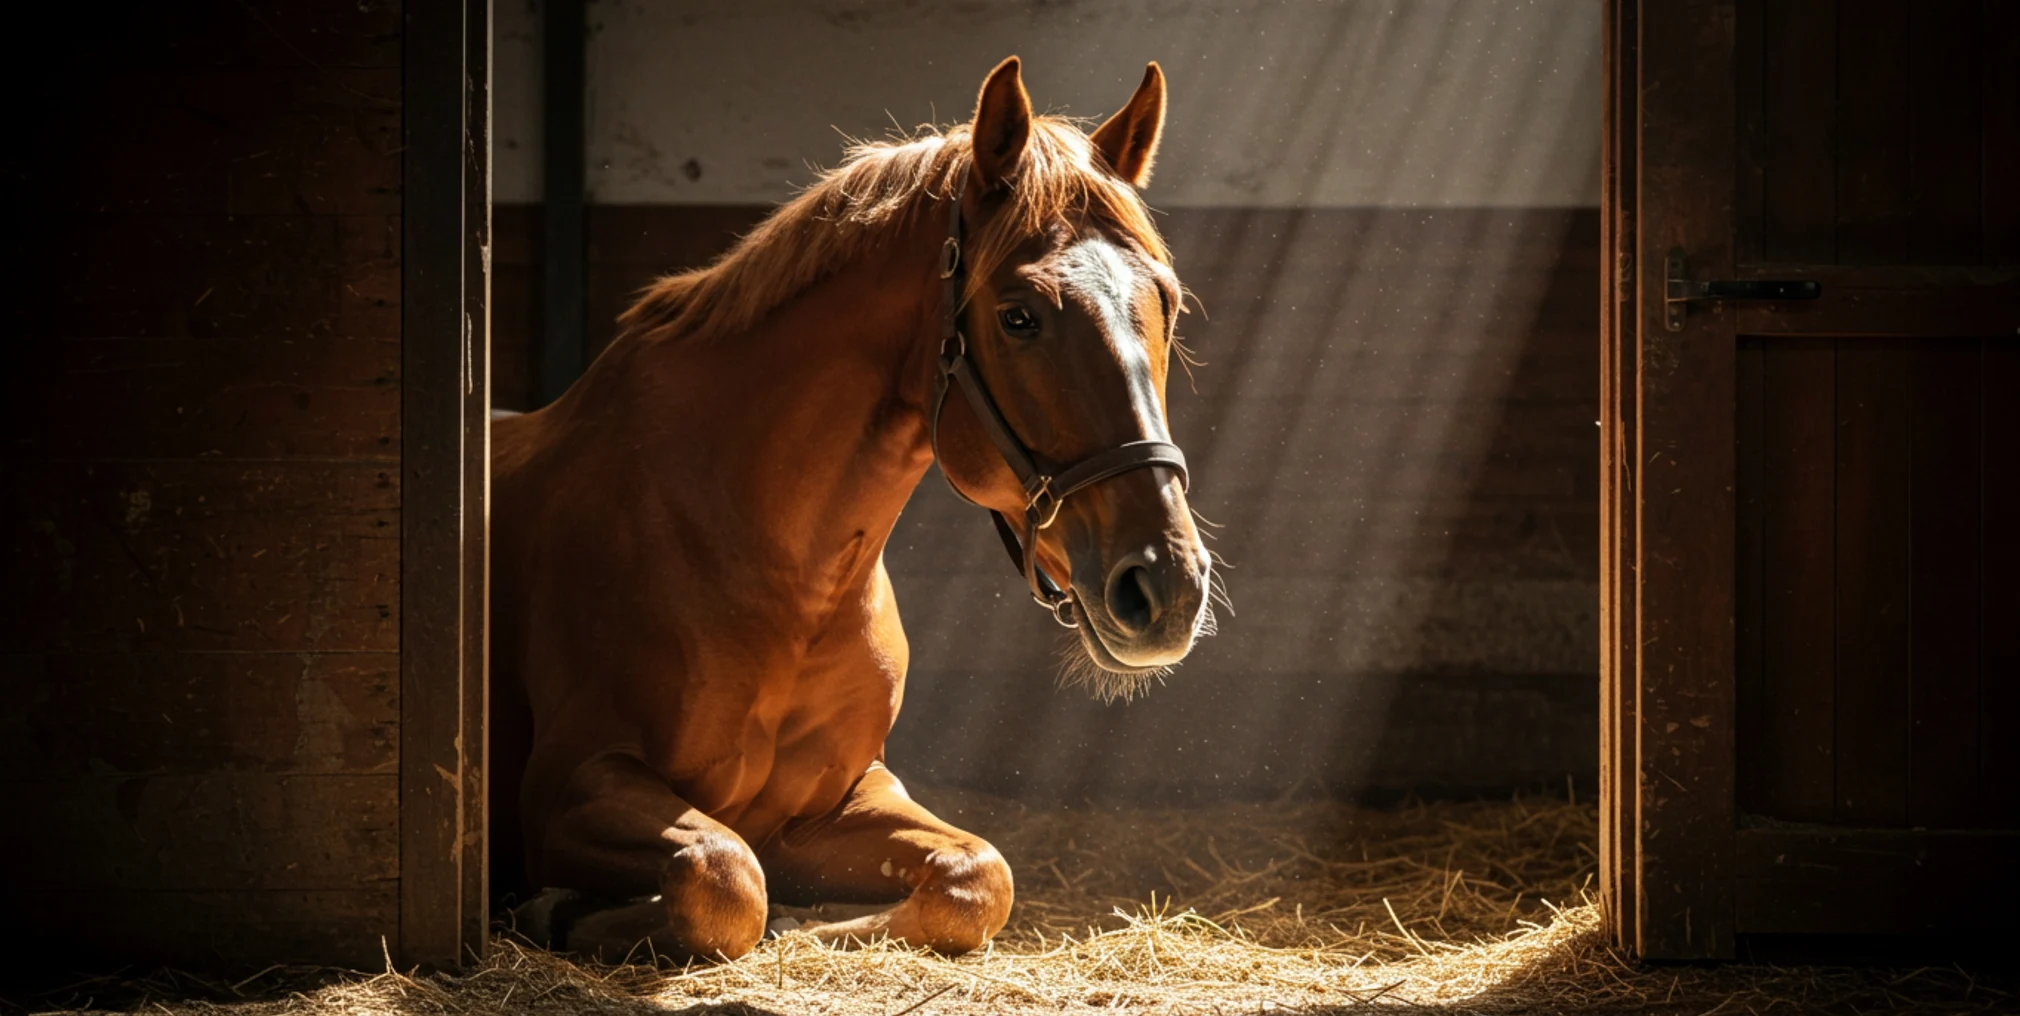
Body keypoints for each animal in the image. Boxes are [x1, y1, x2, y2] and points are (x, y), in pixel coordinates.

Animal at [489, 56, 1215, 962]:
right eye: (1019, 315)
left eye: (1169, 303)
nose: (1167, 588)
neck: (781, 576)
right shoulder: (568, 782)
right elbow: (726, 874)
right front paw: (557, 908)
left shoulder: (840, 797)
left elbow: (980, 874)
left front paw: (818, 922)